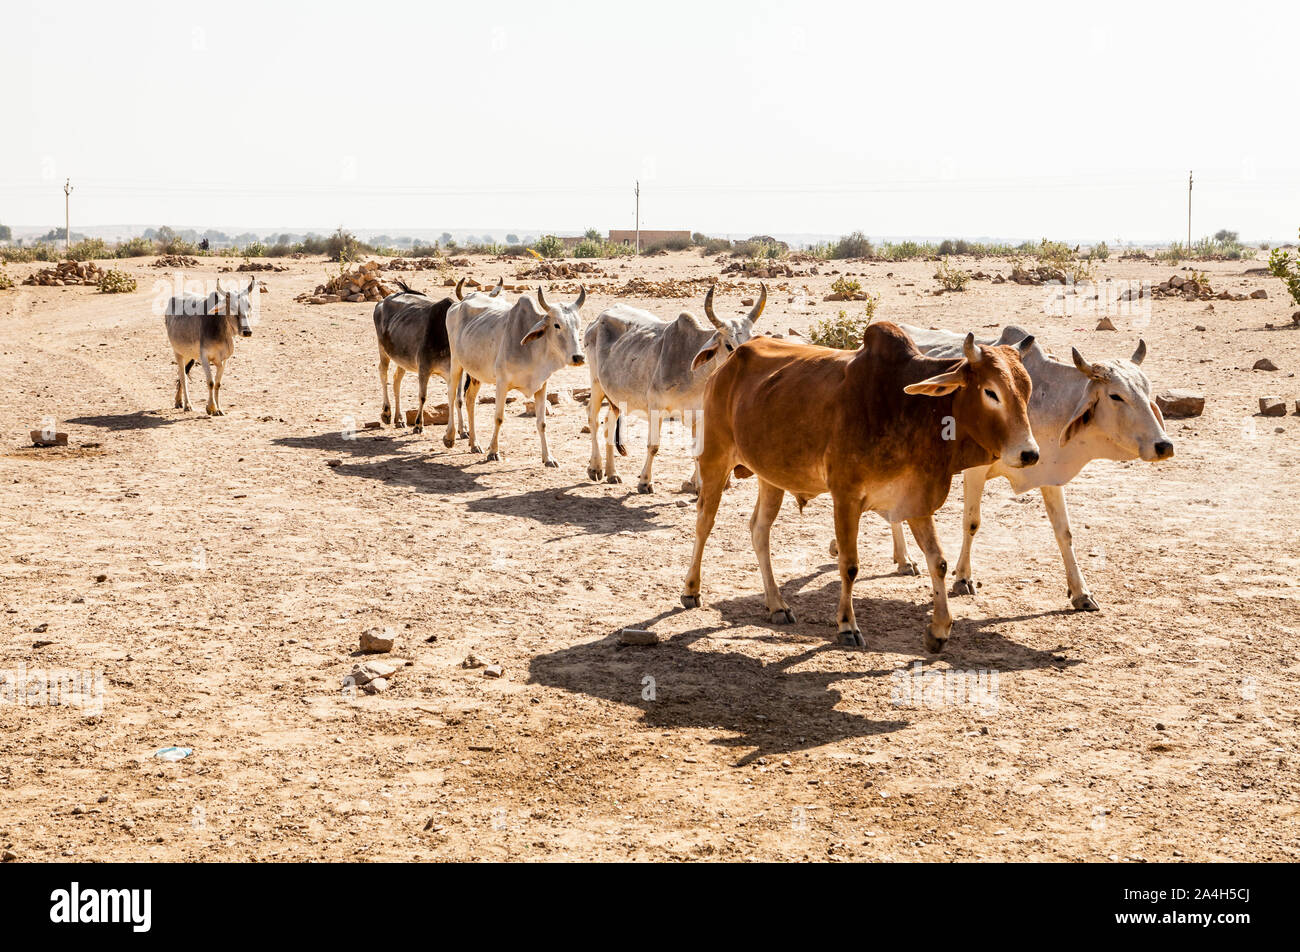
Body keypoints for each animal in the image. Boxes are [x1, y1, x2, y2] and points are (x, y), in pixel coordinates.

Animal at [162, 271, 253, 413]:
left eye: (248, 307)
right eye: (232, 308)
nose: (247, 331)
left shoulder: (224, 360)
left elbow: (218, 383)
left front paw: (219, 408)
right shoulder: (204, 357)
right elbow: (210, 382)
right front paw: (211, 407)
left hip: (190, 355)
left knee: (183, 374)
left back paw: (179, 401)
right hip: (178, 352)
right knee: (183, 376)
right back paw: (187, 404)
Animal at [447, 282, 590, 465]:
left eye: (578, 325)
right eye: (557, 325)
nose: (578, 357)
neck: (533, 351)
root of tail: (458, 304)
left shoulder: (541, 385)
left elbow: (542, 422)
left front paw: (548, 458)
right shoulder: (501, 383)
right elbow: (499, 418)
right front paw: (493, 452)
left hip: (475, 373)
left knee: (470, 400)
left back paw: (474, 443)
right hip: (456, 362)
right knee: (452, 395)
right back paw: (450, 437)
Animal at [587, 280, 764, 491]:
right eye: (729, 345)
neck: (695, 376)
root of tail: (598, 318)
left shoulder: (699, 415)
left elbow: (698, 450)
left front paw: (698, 485)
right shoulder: (655, 408)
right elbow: (653, 446)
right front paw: (645, 482)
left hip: (616, 398)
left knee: (608, 424)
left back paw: (612, 473)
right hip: (596, 383)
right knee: (593, 419)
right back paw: (595, 468)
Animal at [681, 323, 1034, 650]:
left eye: (1027, 391)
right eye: (991, 392)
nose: (1029, 453)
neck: (909, 408)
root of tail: (729, 363)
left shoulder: (916, 499)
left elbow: (939, 562)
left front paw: (939, 629)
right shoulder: (846, 497)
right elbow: (849, 565)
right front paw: (847, 625)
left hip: (771, 477)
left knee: (759, 530)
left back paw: (776, 604)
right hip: (714, 459)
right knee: (704, 523)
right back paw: (691, 589)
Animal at [868, 325, 1175, 608]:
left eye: (1147, 390)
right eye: (1116, 396)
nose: (1164, 445)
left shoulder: (1049, 473)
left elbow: (1064, 532)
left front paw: (1081, 593)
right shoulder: (974, 470)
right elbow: (971, 522)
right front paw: (963, 578)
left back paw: (903, 559)